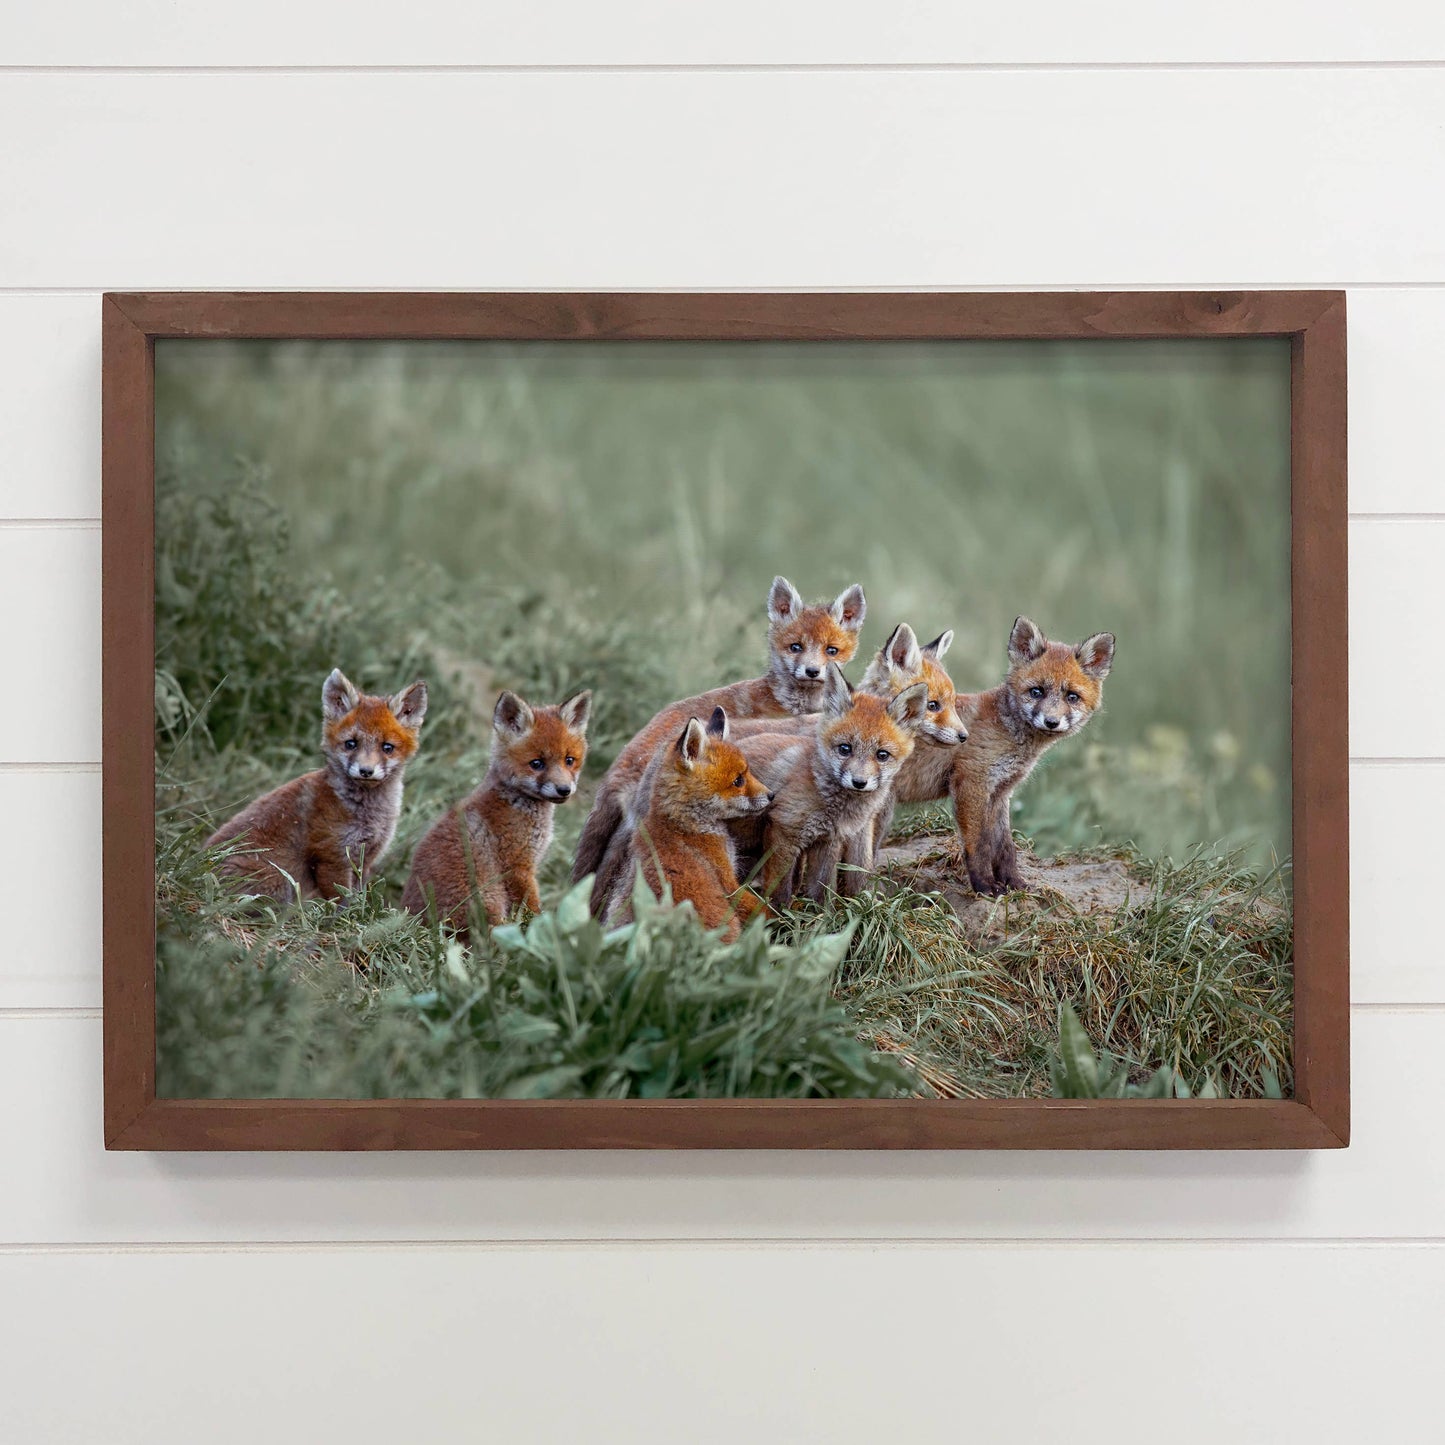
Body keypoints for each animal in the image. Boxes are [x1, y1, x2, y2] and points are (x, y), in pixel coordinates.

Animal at [207, 669, 428, 901]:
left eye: (387, 747)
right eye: (351, 744)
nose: (366, 771)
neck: (368, 815)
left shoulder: (365, 859)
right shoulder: (331, 857)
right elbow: (343, 902)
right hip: (277, 883)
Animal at [402, 689, 592, 934]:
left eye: (569, 760)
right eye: (537, 763)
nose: (564, 790)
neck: (516, 801)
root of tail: (416, 924)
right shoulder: (517, 867)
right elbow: (531, 911)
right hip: (490, 900)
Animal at [734, 664, 928, 907]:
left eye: (882, 755)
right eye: (845, 749)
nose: (859, 782)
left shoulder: (829, 840)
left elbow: (824, 889)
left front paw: (825, 915)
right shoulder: (784, 832)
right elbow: (781, 891)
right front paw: (777, 915)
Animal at [896, 616, 1115, 896]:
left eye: (1072, 697)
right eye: (1036, 691)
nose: (1051, 722)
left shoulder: (1000, 792)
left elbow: (1004, 847)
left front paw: (1015, 883)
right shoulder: (972, 783)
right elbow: (978, 844)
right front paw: (984, 886)